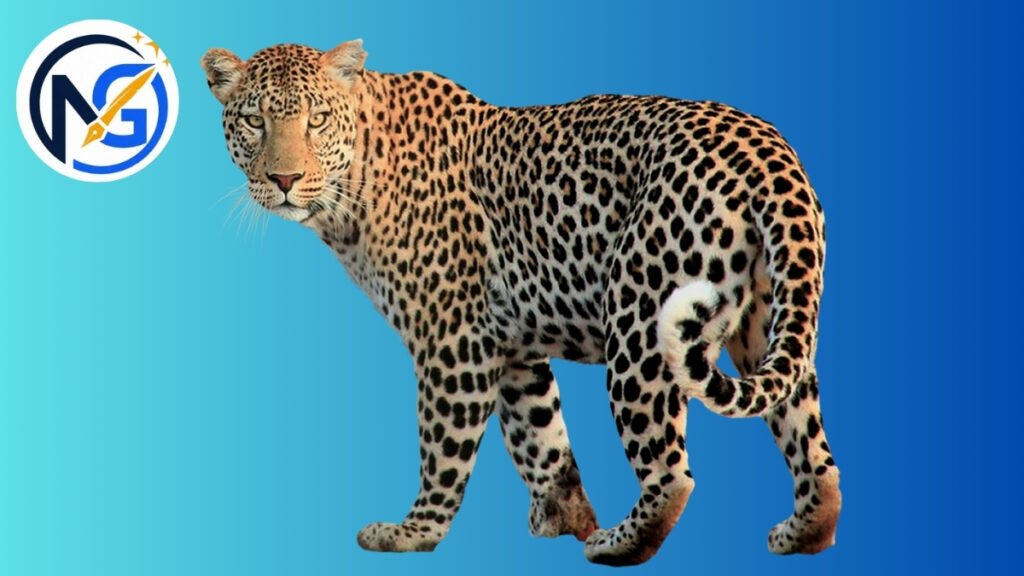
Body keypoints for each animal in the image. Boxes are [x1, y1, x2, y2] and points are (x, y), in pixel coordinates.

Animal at [201, 39, 841, 566]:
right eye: (255, 121)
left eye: (316, 120)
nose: (284, 180)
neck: (353, 185)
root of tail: (768, 151)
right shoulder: (511, 344)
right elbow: (541, 437)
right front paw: (565, 517)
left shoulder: (453, 340)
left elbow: (443, 445)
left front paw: (415, 532)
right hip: (770, 320)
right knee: (812, 447)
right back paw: (803, 532)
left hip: (640, 323)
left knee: (671, 473)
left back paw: (618, 544)